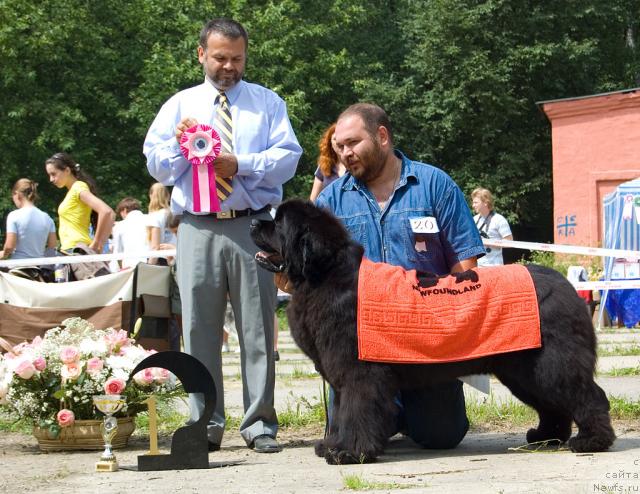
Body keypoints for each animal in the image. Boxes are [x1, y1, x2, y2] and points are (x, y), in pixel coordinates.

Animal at [250, 199, 616, 466]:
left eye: (278, 222)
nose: (253, 222)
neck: (324, 276)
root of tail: (565, 283)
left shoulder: (359, 373)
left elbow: (355, 411)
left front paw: (349, 453)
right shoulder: (342, 376)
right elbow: (341, 413)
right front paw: (332, 446)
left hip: (551, 363)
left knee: (587, 395)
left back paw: (591, 441)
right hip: (523, 371)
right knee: (553, 403)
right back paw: (546, 437)